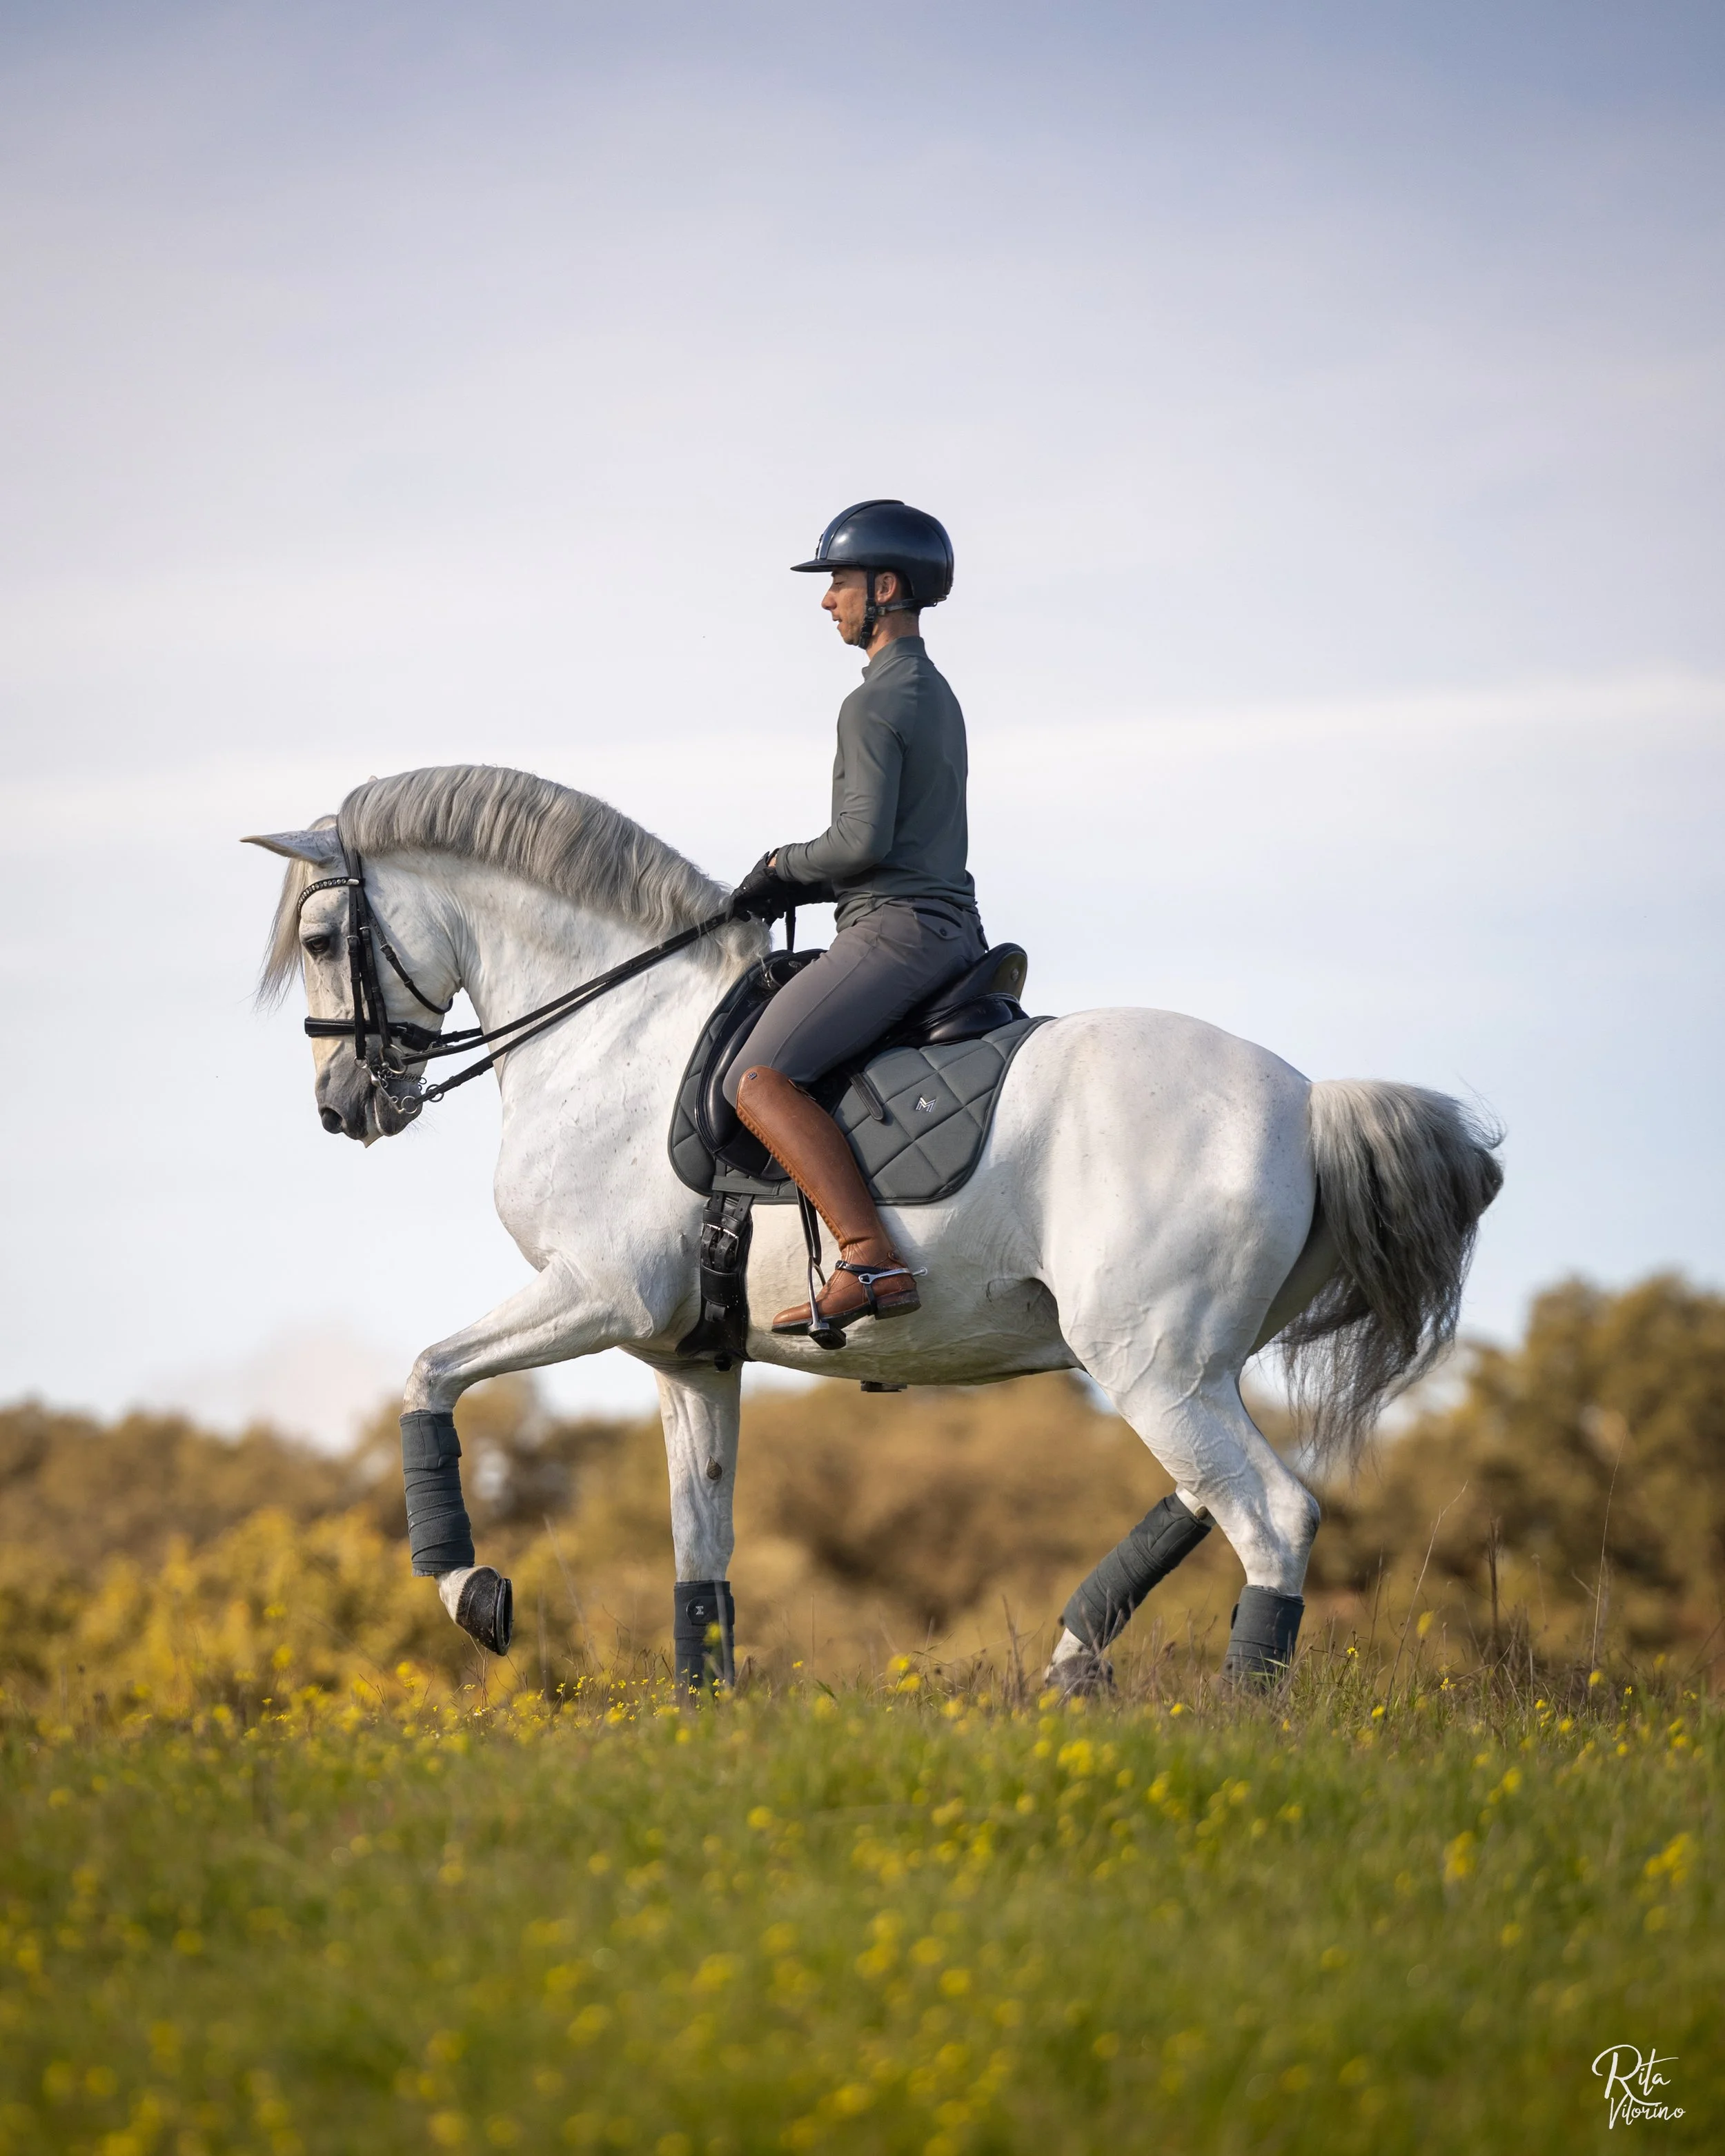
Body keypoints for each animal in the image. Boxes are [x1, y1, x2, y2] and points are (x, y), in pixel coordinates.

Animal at [247, 763, 1502, 1689]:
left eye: (317, 941)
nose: (341, 1109)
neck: (616, 1030)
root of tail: (1305, 1103)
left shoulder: (599, 1292)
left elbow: (429, 1375)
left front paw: (470, 1589)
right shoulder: (686, 1358)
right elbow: (702, 1557)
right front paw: (706, 1722)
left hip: (1153, 1366)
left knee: (1272, 1521)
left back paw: (1235, 1723)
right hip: (1187, 1366)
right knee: (1208, 1501)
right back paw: (1070, 1662)